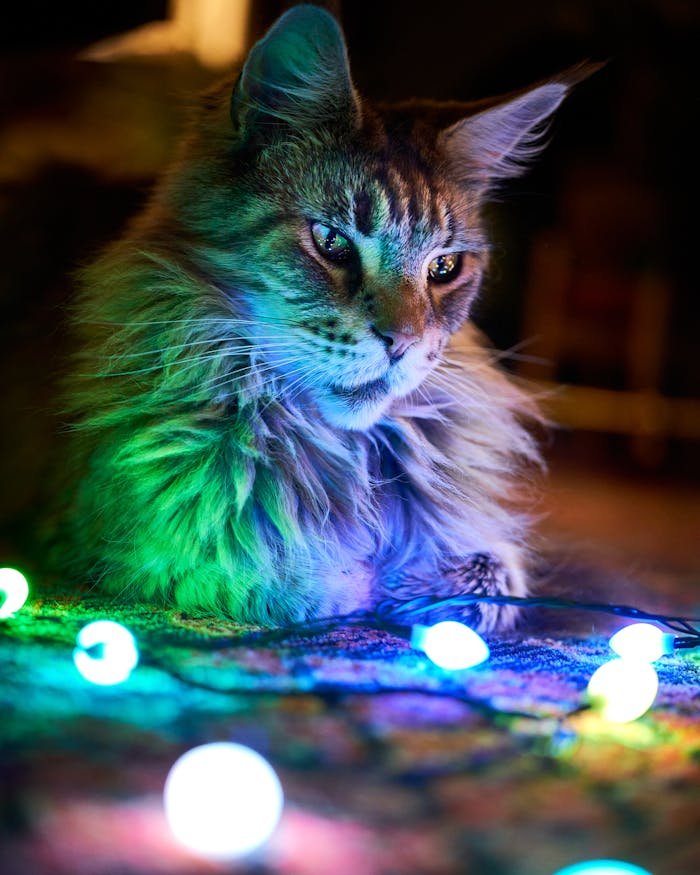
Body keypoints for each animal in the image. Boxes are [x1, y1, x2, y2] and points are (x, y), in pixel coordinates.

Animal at [61, 6, 592, 632]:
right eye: (331, 242)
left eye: (444, 267)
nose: (402, 343)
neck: (345, 454)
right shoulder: (126, 544)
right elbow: (268, 573)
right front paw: (362, 586)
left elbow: (492, 576)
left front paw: (428, 586)